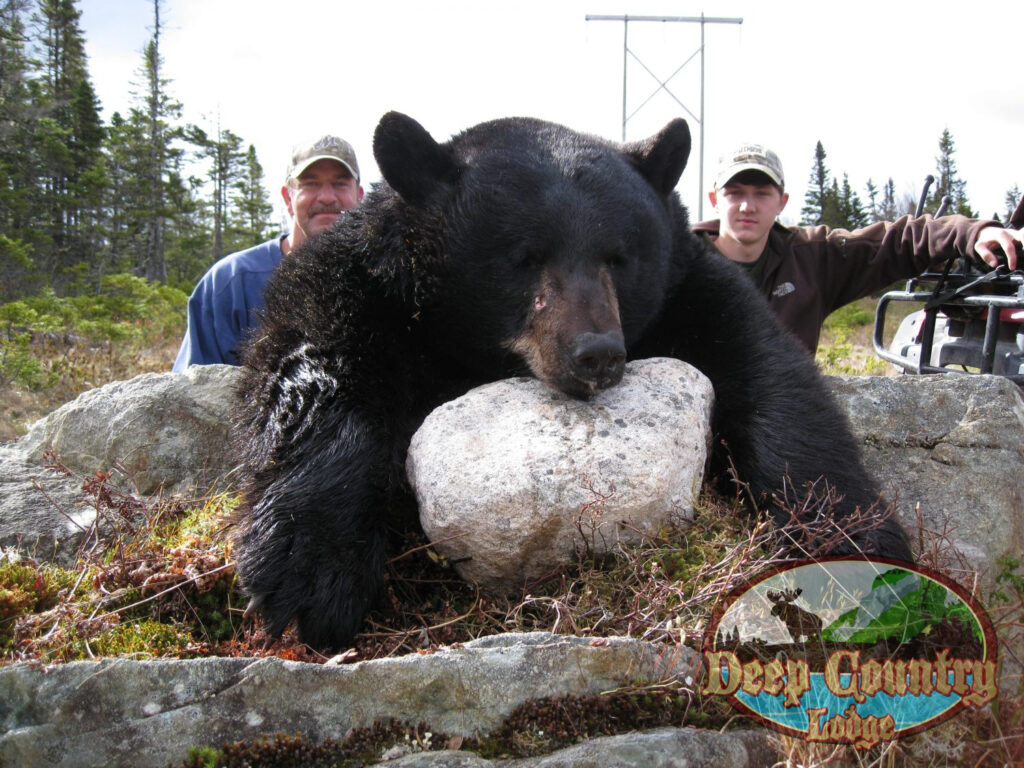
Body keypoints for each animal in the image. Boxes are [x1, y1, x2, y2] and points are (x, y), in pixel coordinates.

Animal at [232, 111, 912, 651]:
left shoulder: (691, 288)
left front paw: (857, 554)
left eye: (619, 256)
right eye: (523, 256)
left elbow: (772, 379)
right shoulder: (364, 281)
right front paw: (310, 572)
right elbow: (318, 365)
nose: (597, 353)